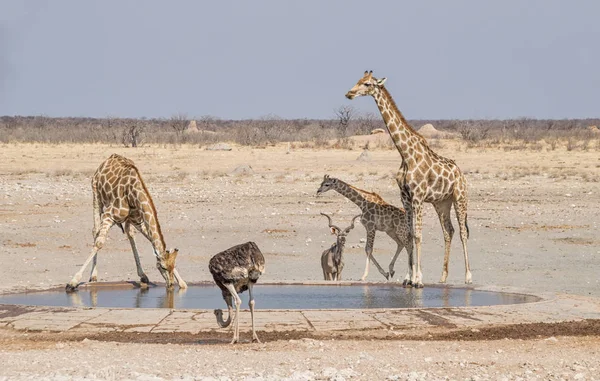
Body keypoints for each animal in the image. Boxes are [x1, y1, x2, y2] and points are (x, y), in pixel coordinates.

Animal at [65, 153, 188, 290]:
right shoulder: (108, 215)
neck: (134, 194)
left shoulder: (138, 221)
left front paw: (182, 283)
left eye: (173, 265)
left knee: (130, 234)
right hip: (96, 194)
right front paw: (73, 281)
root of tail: (108, 158)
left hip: (128, 219)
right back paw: (93, 276)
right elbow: (99, 243)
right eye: (163, 267)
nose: (170, 284)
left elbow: (150, 239)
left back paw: (142, 275)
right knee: (95, 231)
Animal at [344, 71, 472, 284]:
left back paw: (468, 276)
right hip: (441, 202)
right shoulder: (405, 197)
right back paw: (443, 276)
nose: (349, 94)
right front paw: (408, 277)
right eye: (357, 80)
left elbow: (418, 235)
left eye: (367, 84)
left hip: (460, 197)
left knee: (462, 232)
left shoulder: (418, 196)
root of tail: (460, 173)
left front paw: (418, 279)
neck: (405, 153)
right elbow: (411, 234)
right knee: (449, 231)